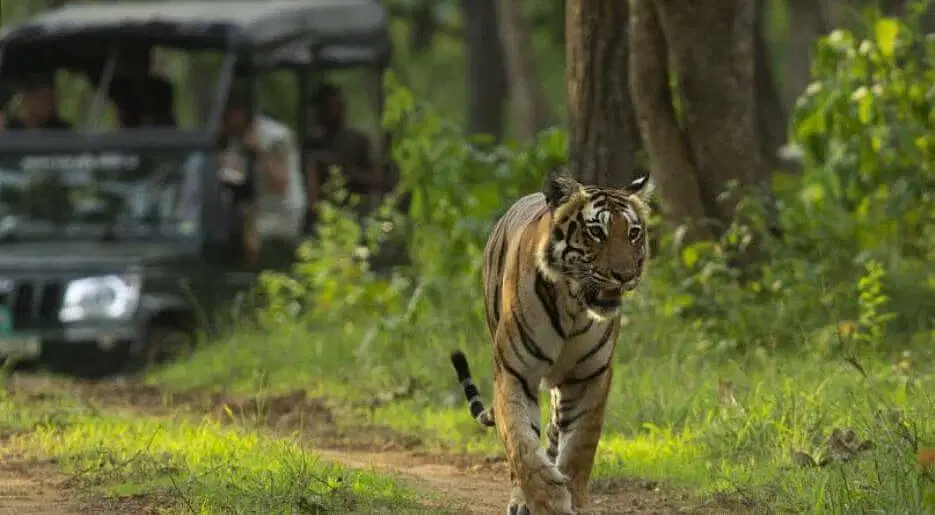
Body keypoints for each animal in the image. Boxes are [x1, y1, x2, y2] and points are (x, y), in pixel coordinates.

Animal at [449, 167, 652, 515]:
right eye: (596, 232)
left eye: (633, 233)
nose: (625, 275)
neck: (572, 305)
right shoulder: (514, 372)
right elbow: (522, 446)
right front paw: (549, 500)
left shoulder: (589, 377)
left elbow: (580, 447)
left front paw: (572, 495)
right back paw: (521, 499)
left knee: (555, 431)